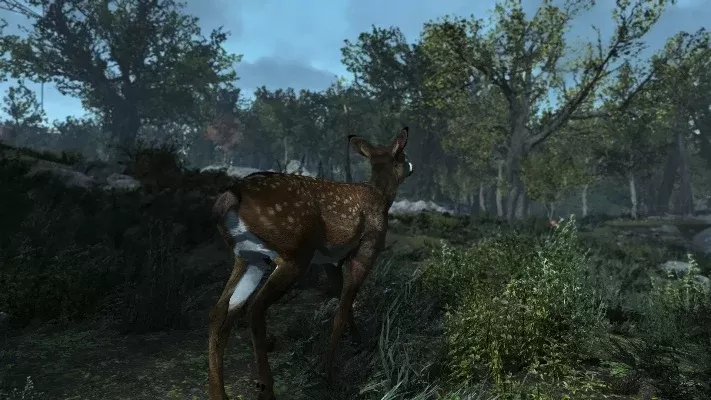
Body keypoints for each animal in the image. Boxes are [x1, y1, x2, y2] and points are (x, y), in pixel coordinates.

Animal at [208, 127, 414, 400]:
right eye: (402, 155)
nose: (411, 166)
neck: (381, 195)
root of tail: (230, 197)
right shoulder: (367, 248)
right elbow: (342, 308)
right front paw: (327, 372)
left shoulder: (330, 261)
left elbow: (343, 301)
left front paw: (358, 342)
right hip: (294, 253)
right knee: (255, 308)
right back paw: (266, 388)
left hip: (248, 258)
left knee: (220, 312)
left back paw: (219, 393)